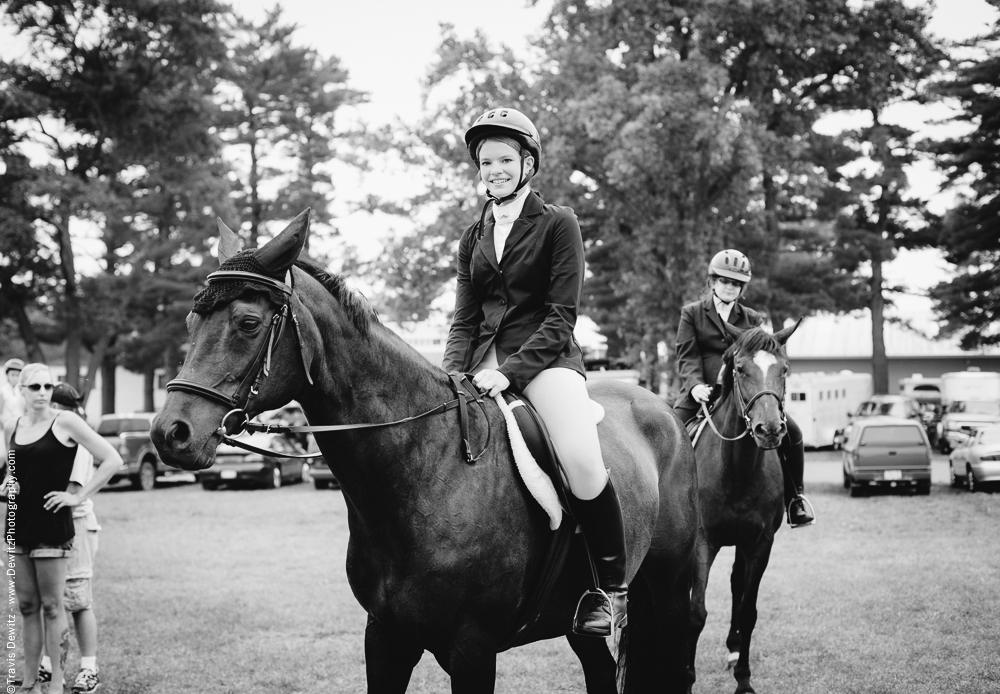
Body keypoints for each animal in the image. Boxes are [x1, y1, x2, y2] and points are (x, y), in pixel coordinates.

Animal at [148, 212, 700, 694]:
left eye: (247, 323)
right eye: (192, 320)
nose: (169, 433)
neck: (425, 472)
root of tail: (664, 409)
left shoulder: (472, 650)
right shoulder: (384, 637)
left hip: (670, 590)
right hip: (573, 622)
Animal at [692, 324, 800, 694]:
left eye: (785, 369)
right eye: (740, 369)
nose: (769, 429)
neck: (736, 470)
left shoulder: (760, 543)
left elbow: (748, 610)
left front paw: (744, 679)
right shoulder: (702, 543)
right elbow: (695, 611)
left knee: (737, 584)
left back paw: (733, 649)